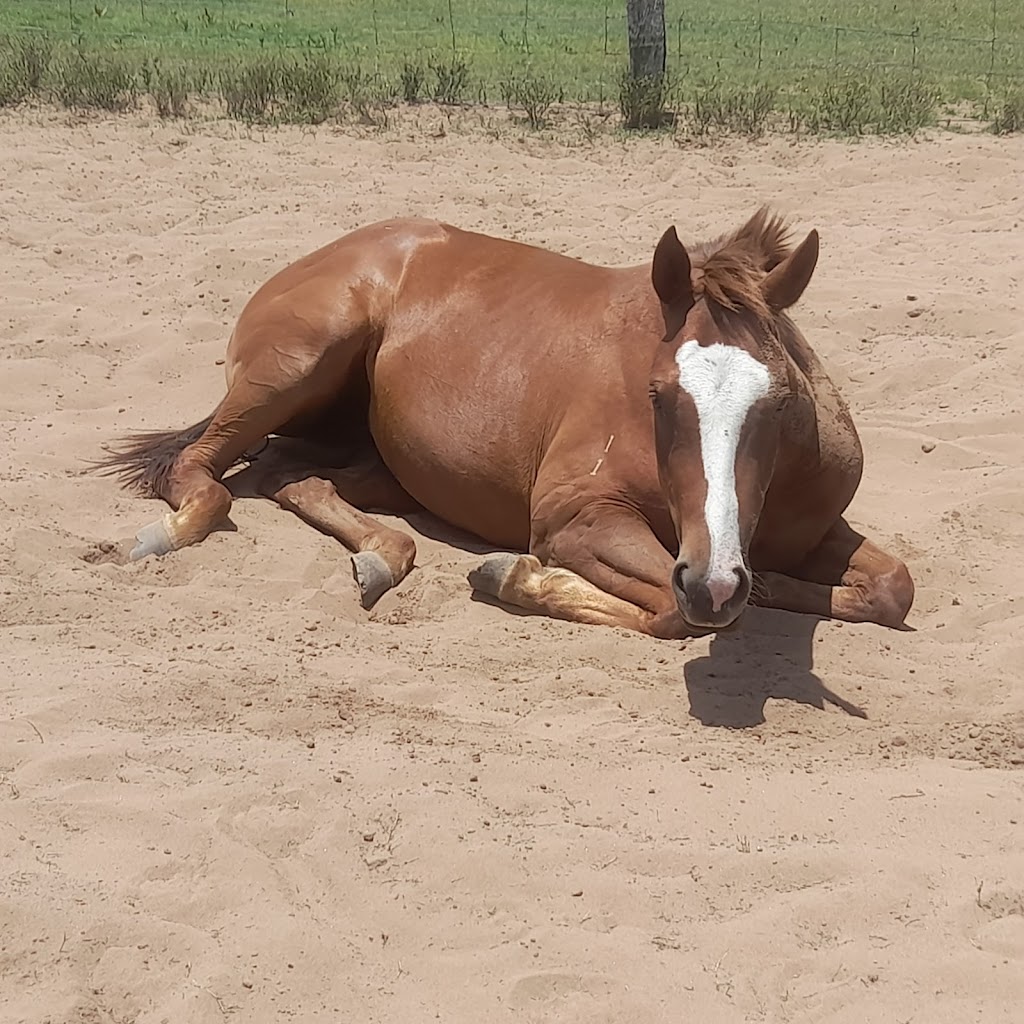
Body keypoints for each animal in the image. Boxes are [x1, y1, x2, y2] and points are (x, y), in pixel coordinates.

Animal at [96, 208, 914, 639]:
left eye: (778, 401)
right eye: (654, 394)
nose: (716, 579)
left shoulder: (809, 533)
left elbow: (892, 588)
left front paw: (770, 587)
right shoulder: (576, 520)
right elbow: (671, 612)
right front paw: (510, 574)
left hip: (380, 466)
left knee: (288, 475)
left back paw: (382, 557)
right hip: (294, 366)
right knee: (204, 471)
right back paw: (169, 532)